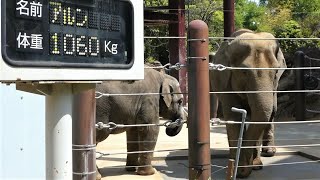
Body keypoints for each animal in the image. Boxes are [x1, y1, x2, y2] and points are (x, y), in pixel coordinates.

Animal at [210, 29, 288, 177]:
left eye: (276, 71)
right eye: (244, 71)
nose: (242, 169)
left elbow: (257, 117)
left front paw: (255, 166)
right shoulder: (226, 83)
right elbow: (234, 117)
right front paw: (236, 167)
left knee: (272, 111)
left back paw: (269, 152)